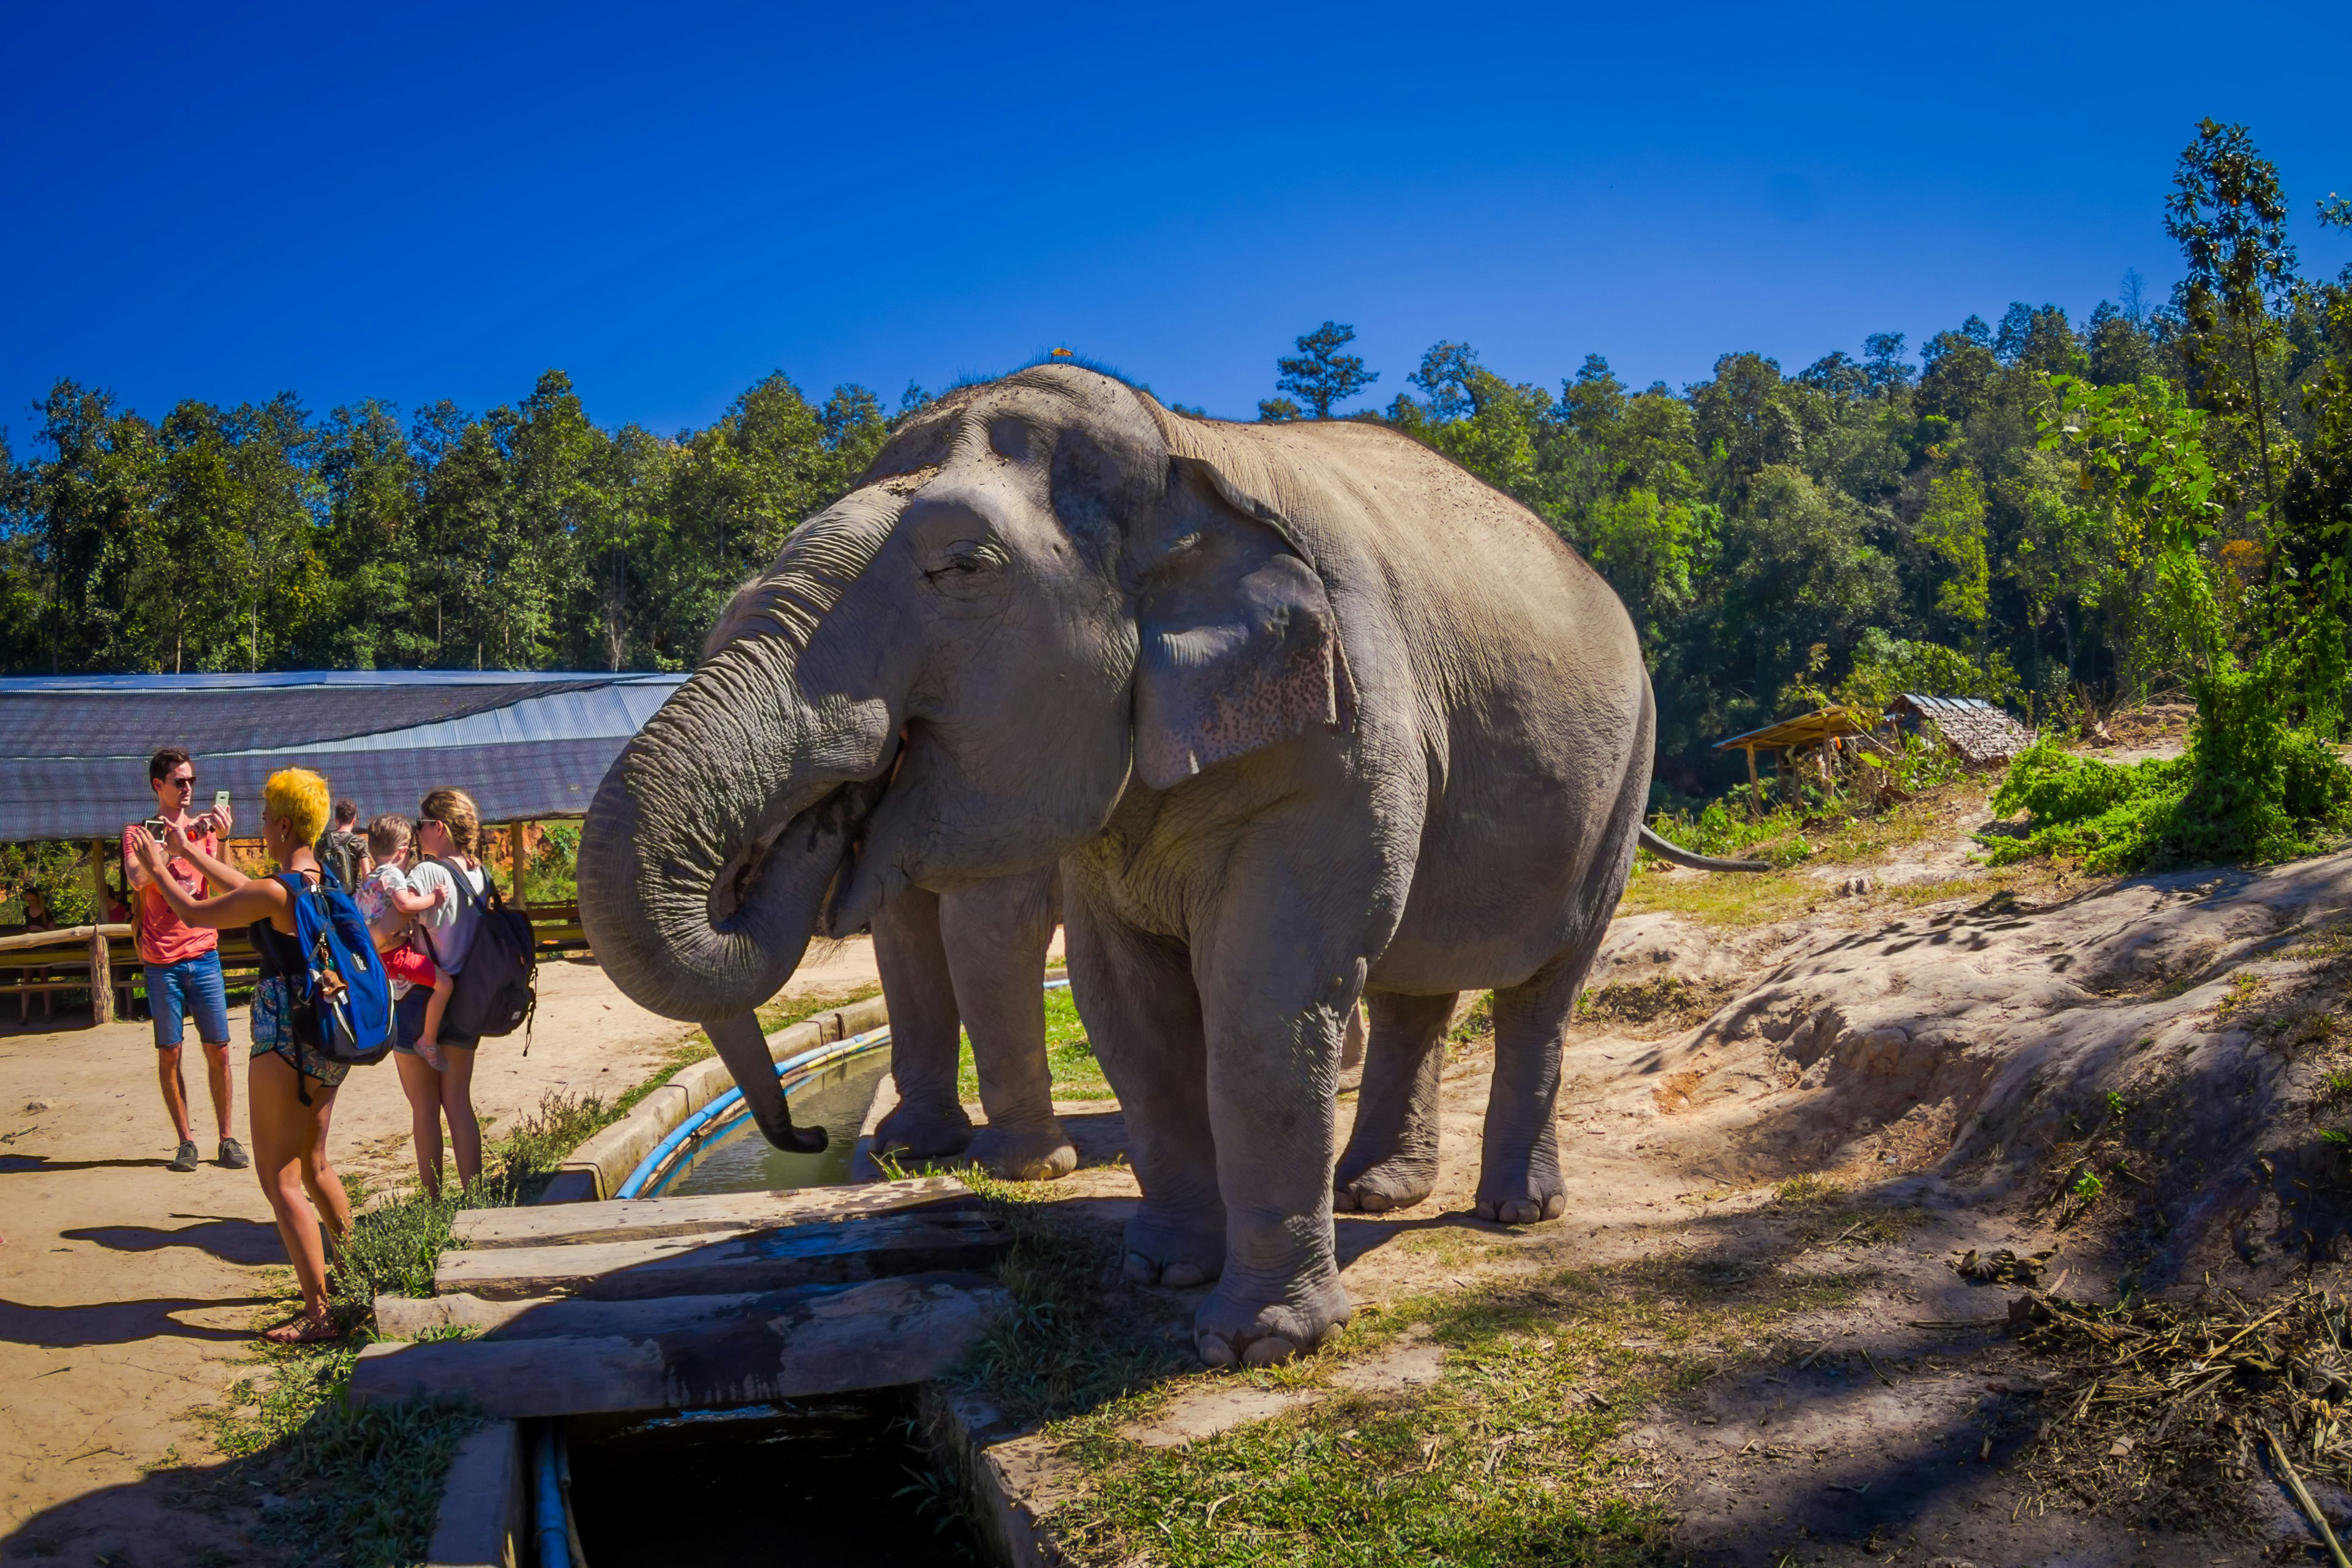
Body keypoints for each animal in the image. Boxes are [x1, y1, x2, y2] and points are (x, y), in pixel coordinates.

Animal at [586, 362, 1759, 1363]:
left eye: (964, 567)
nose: (826, 813)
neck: (1185, 457)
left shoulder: (1343, 730)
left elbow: (1263, 998)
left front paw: (1260, 1344)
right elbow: (1125, 1005)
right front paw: (1161, 1272)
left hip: (1623, 782)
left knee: (1541, 992)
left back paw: (1513, 1212)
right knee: (1415, 981)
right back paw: (1375, 1194)